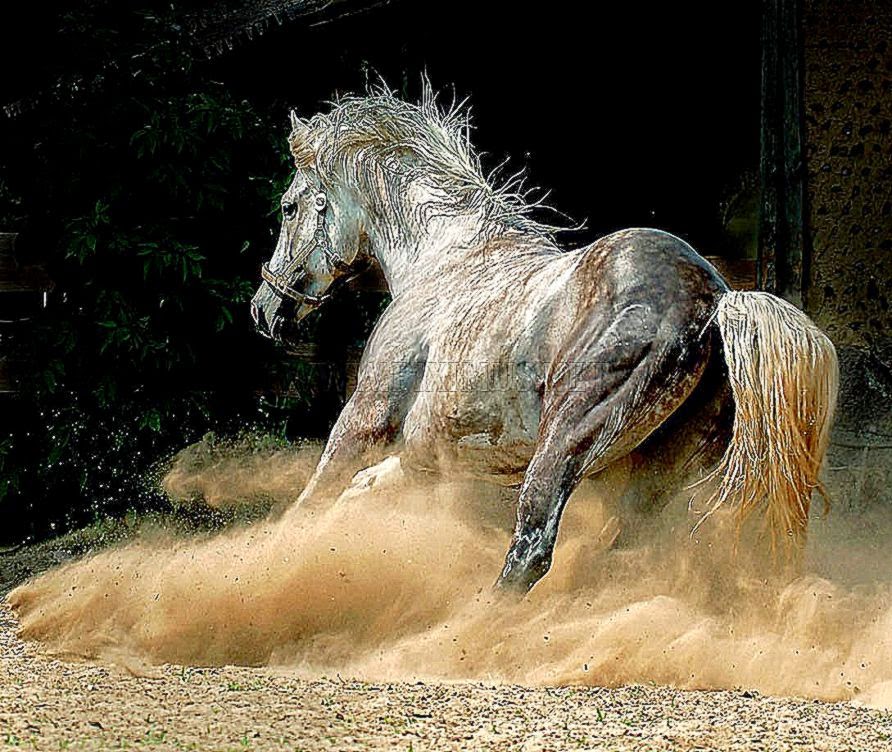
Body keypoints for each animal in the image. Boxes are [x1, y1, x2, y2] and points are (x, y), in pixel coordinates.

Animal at [250, 87, 839, 594]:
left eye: (289, 206)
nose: (263, 309)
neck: (444, 260)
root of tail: (714, 300)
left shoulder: (368, 417)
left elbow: (314, 498)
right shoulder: (430, 461)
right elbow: (358, 491)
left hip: (566, 441)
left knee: (530, 552)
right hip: (649, 480)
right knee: (618, 552)